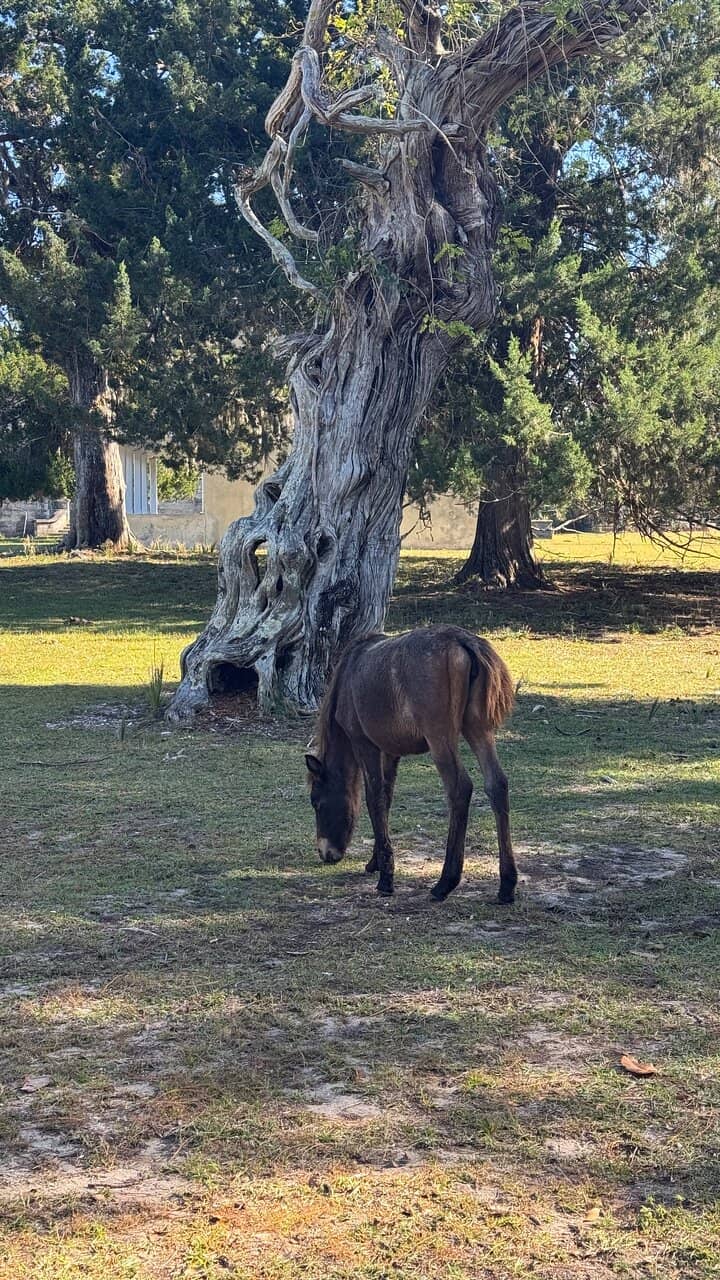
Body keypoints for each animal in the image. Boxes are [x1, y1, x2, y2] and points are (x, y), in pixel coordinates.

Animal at [305, 624, 517, 903]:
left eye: (316, 802)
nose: (325, 853)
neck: (349, 675)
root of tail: (462, 640)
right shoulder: (390, 751)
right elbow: (386, 799)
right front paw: (375, 861)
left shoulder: (364, 744)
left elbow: (374, 799)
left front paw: (386, 878)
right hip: (478, 728)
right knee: (497, 784)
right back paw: (507, 885)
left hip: (440, 737)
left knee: (460, 788)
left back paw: (445, 882)